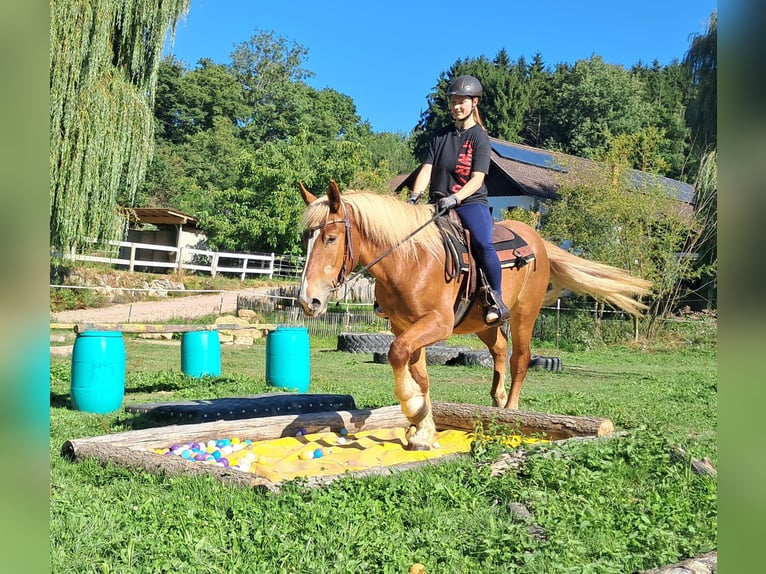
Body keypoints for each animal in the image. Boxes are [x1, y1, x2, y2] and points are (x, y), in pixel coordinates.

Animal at [297, 180, 651, 451]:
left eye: (330, 238)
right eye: (306, 238)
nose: (307, 300)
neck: (409, 259)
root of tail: (537, 240)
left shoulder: (436, 324)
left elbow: (397, 355)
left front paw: (412, 407)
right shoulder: (404, 327)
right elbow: (418, 372)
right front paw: (422, 426)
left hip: (524, 314)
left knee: (520, 359)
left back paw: (512, 412)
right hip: (483, 323)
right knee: (499, 349)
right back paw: (497, 400)